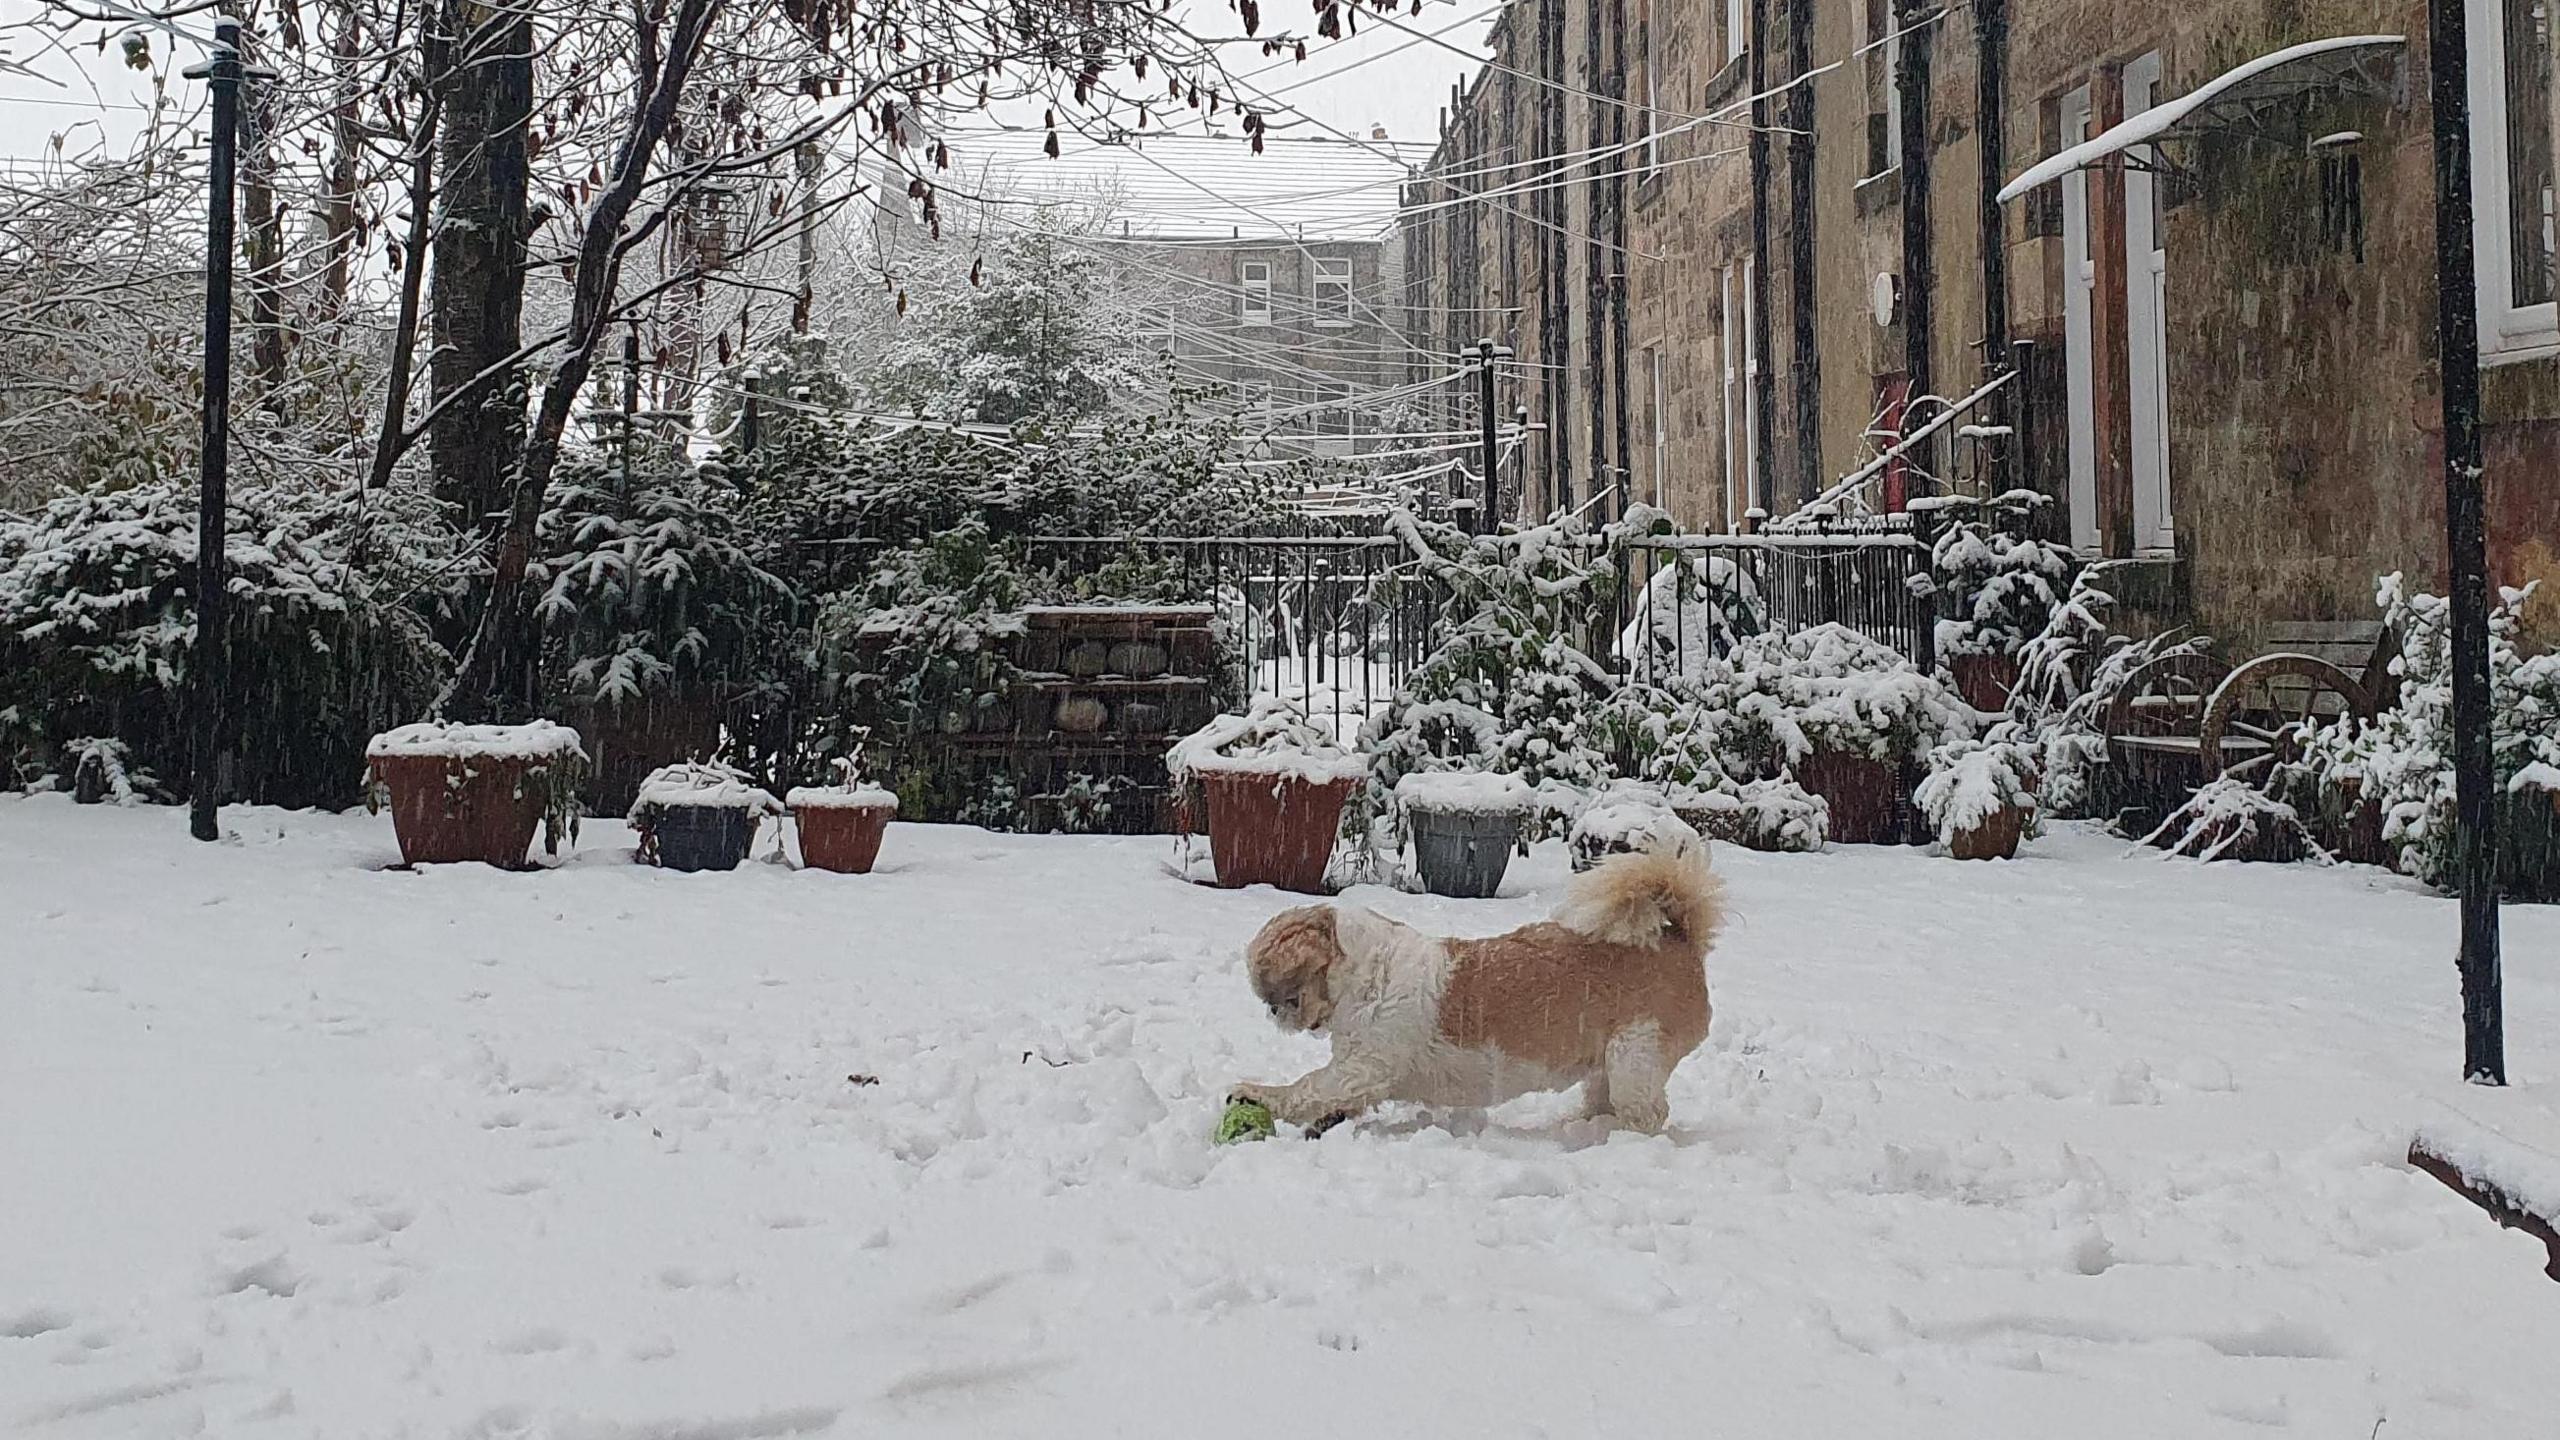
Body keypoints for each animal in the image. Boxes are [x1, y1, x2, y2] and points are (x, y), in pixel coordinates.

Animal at [1223, 840, 1720, 1132]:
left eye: (1285, 994)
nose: (1273, 1011)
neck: (1369, 976)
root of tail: (1680, 937)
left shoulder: (1362, 1067)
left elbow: (1308, 1087)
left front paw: (1254, 1093)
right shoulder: (1361, 1075)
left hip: (1637, 1057)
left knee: (1648, 1113)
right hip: (1608, 1066)